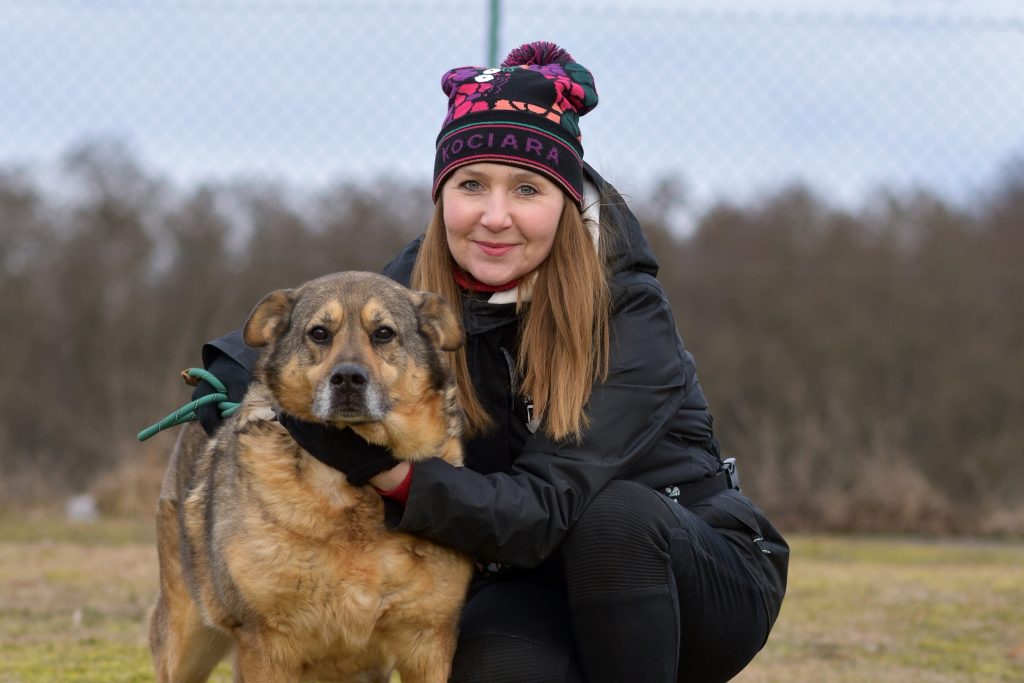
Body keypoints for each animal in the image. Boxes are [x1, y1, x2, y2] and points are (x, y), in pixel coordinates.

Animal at [149, 271, 473, 683]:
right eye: (319, 333)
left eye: (383, 333)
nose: (348, 378)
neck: (352, 487)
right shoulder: (266, 644)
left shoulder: (429, 642)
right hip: (185, 640)